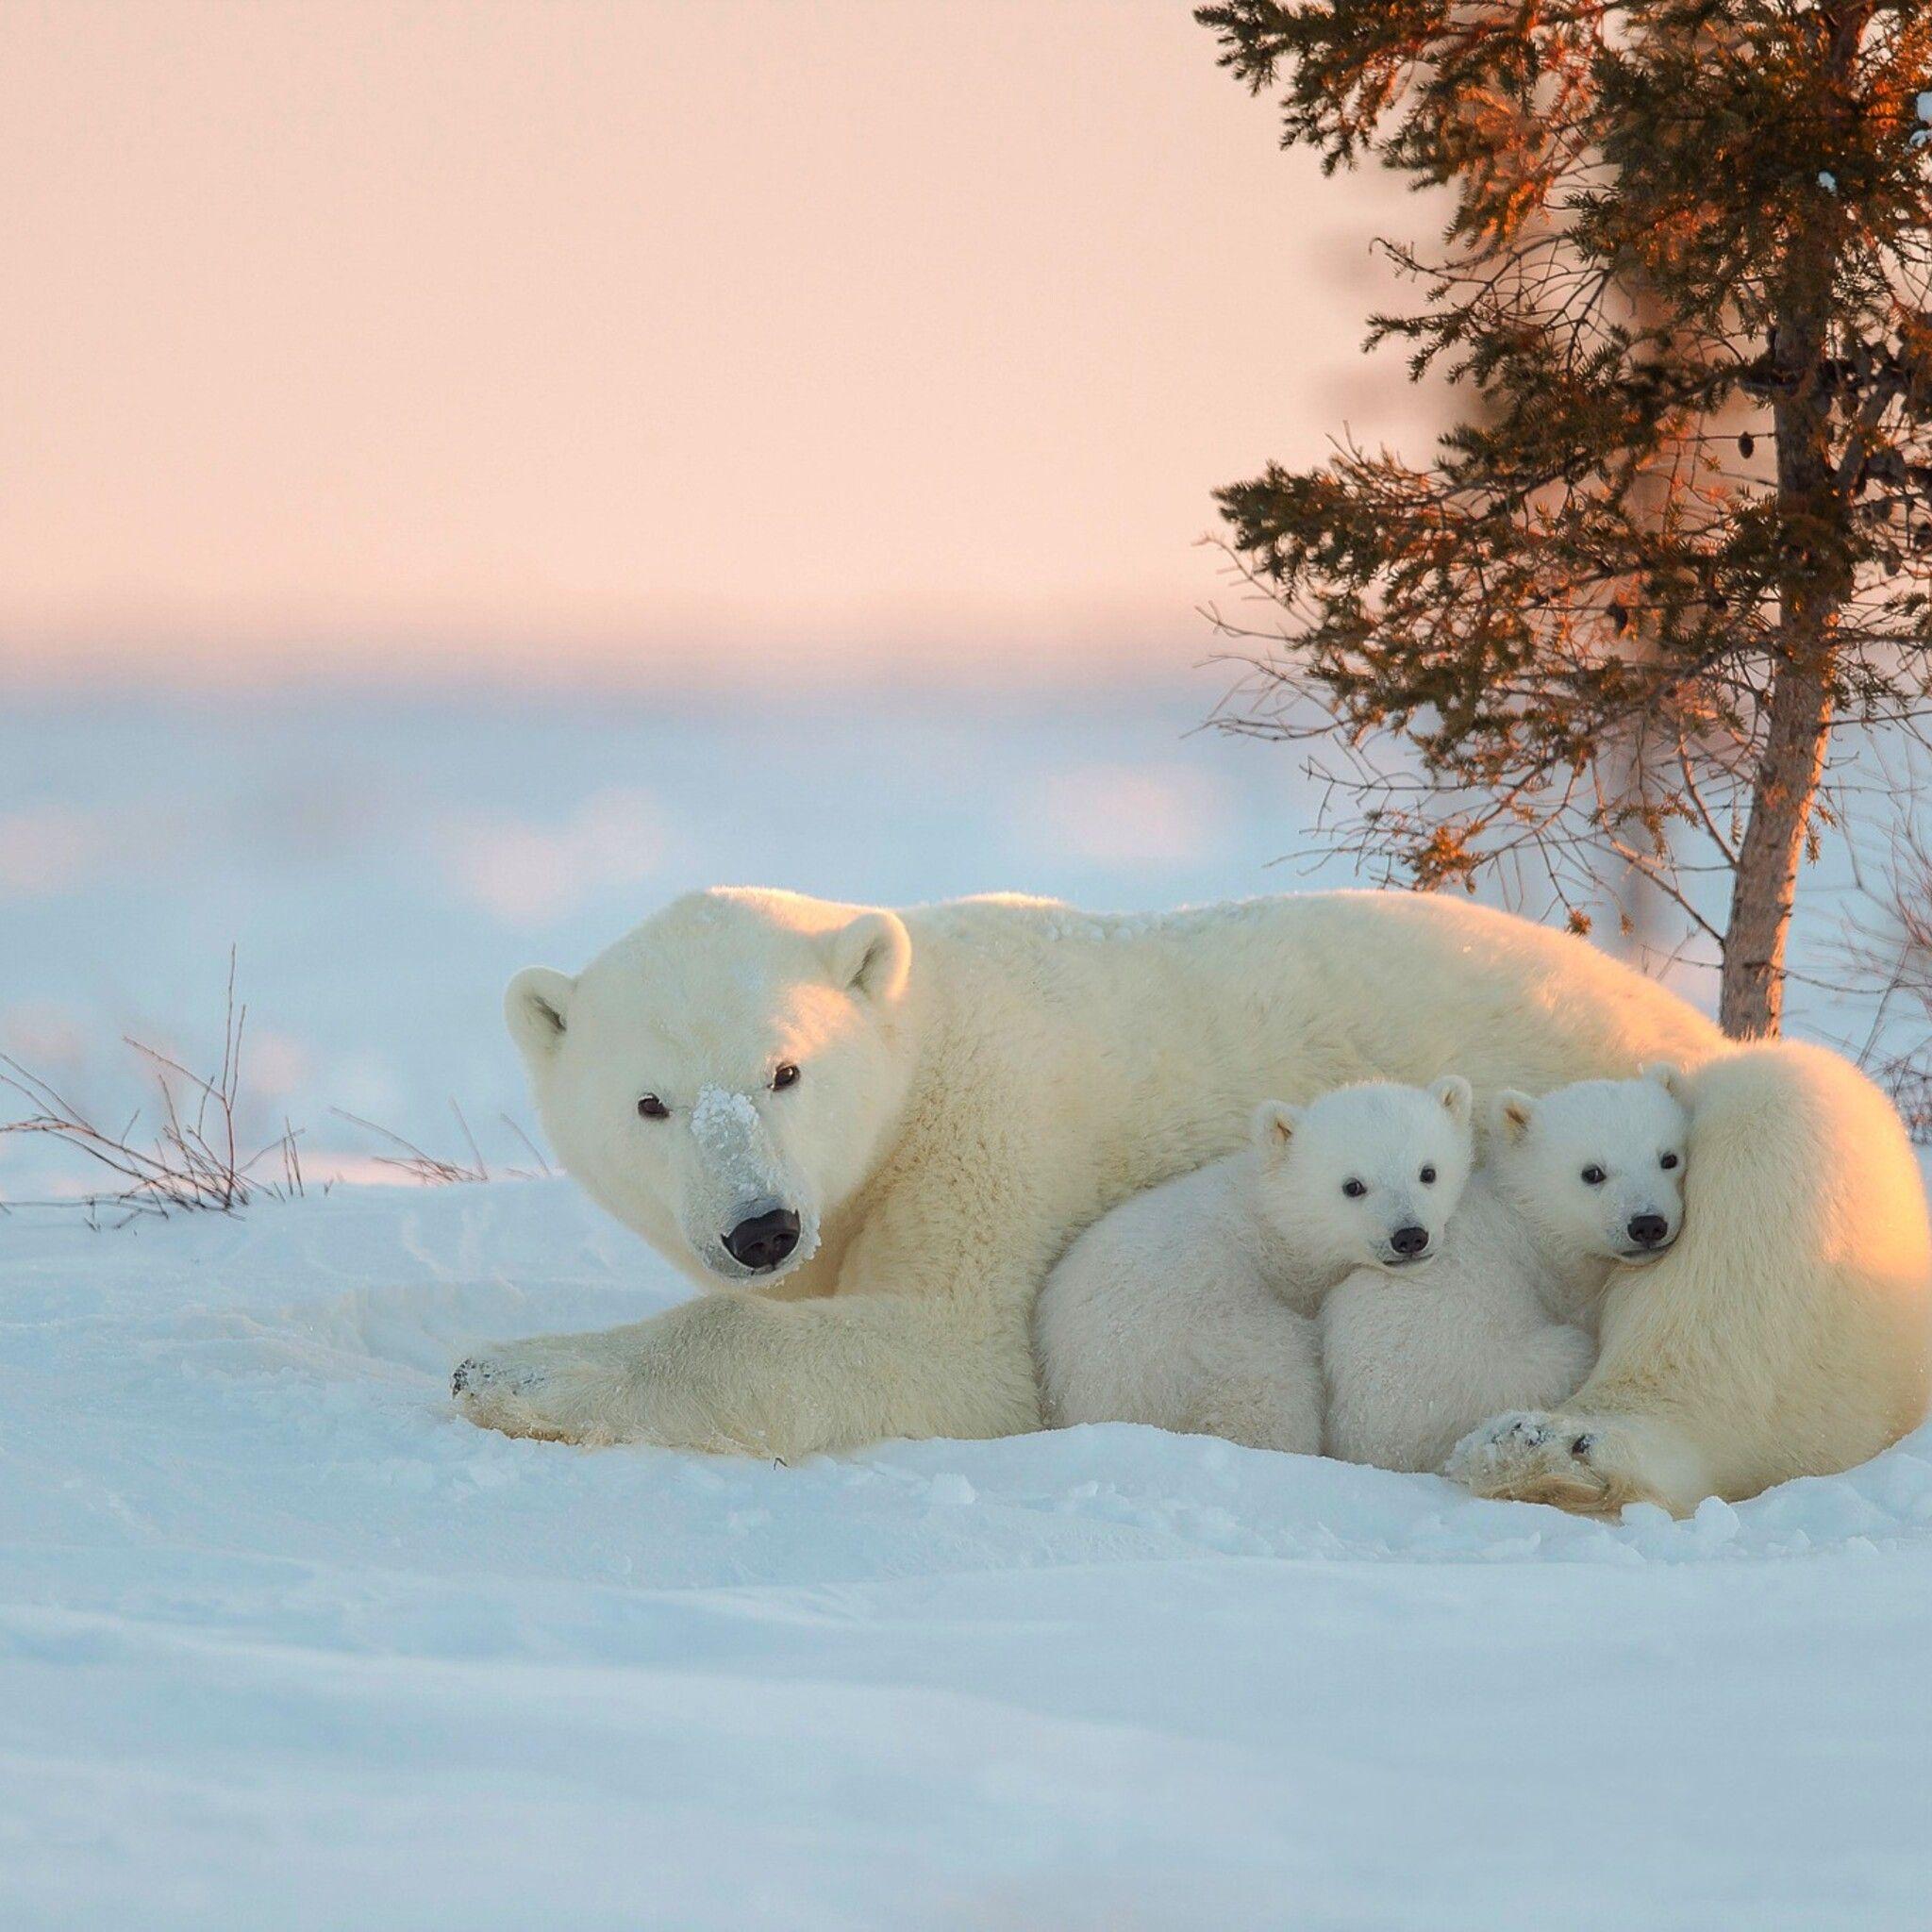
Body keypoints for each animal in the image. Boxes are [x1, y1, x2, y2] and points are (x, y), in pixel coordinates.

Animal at [1319, 1069, 1691, 1475]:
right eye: (1592, 1173)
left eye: (1669, 1158)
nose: (1648, 1224)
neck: (1532, 1216)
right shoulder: (1561, 1279)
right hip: (1495, 1379)